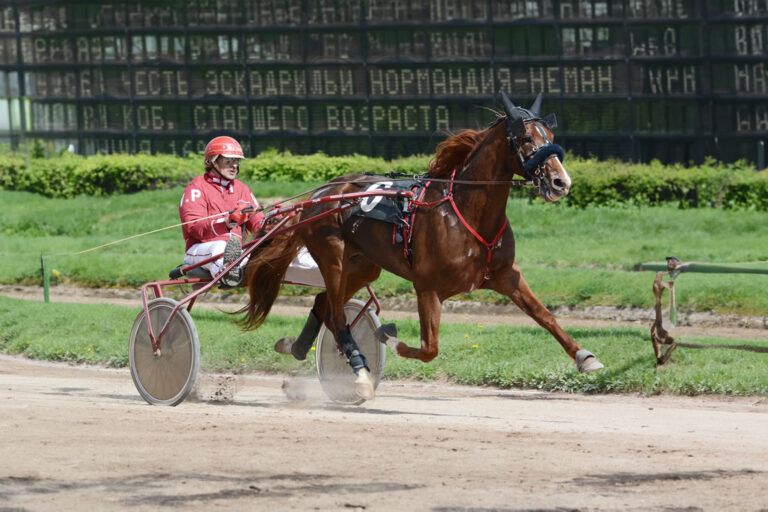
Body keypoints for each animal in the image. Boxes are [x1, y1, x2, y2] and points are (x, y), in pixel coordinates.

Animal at [241, 93, 604, 400]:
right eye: (527, 138)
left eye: (551, 136)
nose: (560, 182)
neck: (465, 211)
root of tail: (320, 195)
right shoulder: (427, 286)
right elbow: (429, 348)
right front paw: (389, 337)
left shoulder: (505, 274)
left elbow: (544, 315)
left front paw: (584, 356)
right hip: (332, 255)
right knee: (335, 313)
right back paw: (359, 374)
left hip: (363, 265)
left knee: (323, 304)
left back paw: (297, 348)